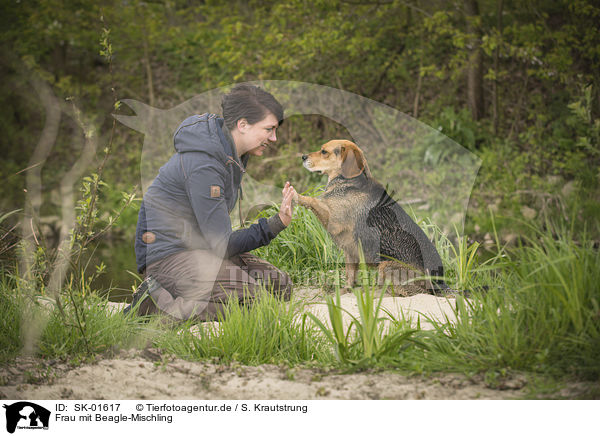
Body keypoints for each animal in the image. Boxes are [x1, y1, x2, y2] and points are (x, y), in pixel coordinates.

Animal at [292, 140, 452, 296]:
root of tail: (440, 281)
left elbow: (313, 200)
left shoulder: (334, 222)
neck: (348, 181)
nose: (303, 157)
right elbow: (350, 276)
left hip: (386, 266)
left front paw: (296, 196)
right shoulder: (350, 252)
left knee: (412, 292)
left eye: (324, 151)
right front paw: (346, 289)